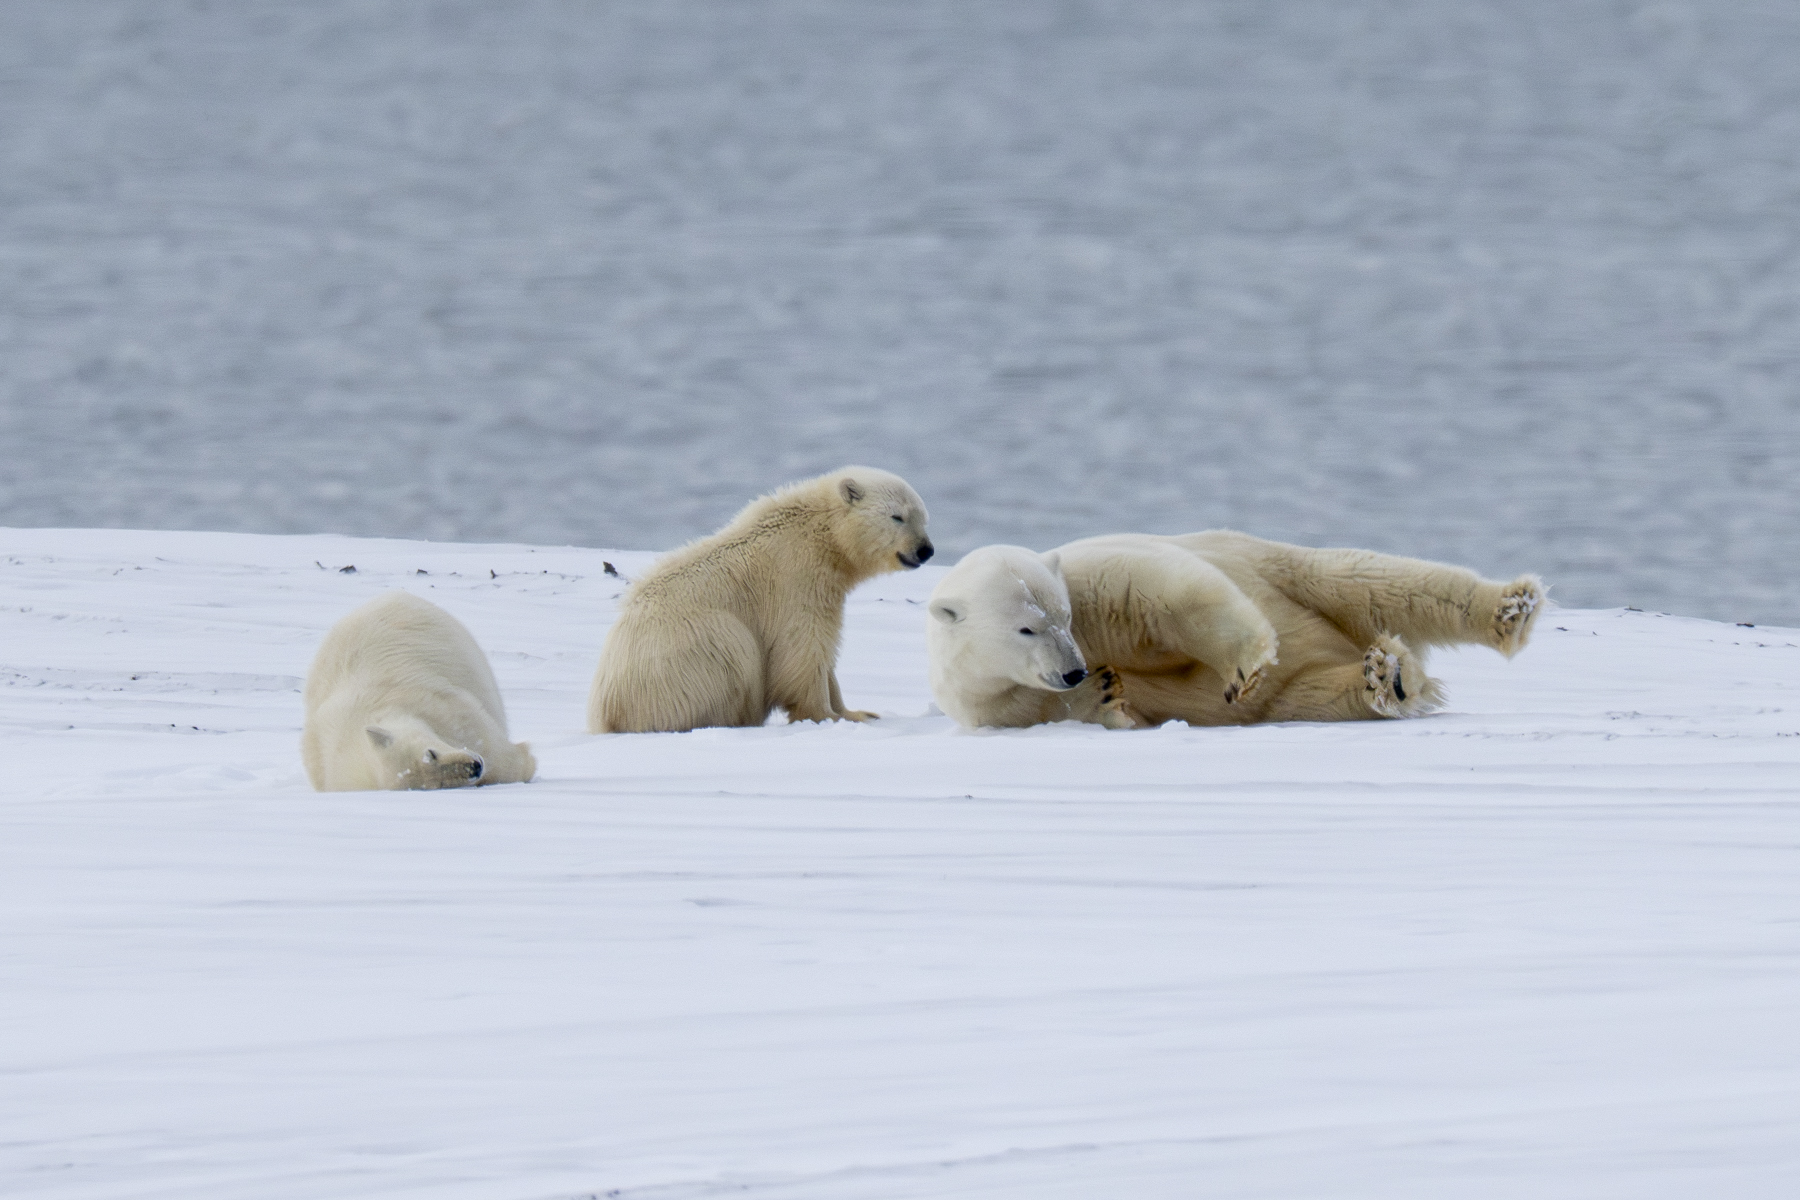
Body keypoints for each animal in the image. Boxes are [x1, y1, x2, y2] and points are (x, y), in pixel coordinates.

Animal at [588, 465, 934, 733]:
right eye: (897, 517)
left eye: (923, 517)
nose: (925, 550)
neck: (821, 535)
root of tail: (606, 712)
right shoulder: (795, 579)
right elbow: (802, 648)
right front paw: (828, 715)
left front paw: (859, 712)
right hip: (692, 650)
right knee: (734, 649)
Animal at [927, 530, 1544, 729]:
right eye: (1026, 629)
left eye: (1064, 616)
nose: (1075, 669)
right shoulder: (991, 701)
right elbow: (1051, 709)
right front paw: (1105, 694)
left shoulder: (1089, 581)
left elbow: (1159, 591)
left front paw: (1243, 667)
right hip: (1302, 688)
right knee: (1317, 696)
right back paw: (1385, 678)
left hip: (1280, 568)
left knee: (1372, 579)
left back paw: (1510, 609)